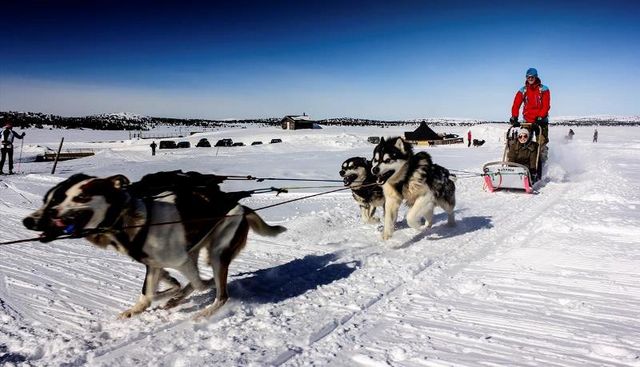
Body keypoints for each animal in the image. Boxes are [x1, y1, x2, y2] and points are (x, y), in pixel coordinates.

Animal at [23, 172, 284, 320]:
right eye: (59, 198)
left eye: (80, 197)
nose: (30, 220)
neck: (130, 221)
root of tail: (242, 206)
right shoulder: (155, 265)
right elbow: (147, 294)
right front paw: (139, 307)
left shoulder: (179, 261)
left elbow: (200, 283)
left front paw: (194, 288)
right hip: (198, 250)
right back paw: (176, 298)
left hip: (217, 253)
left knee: (221, 294)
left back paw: (206, 310)